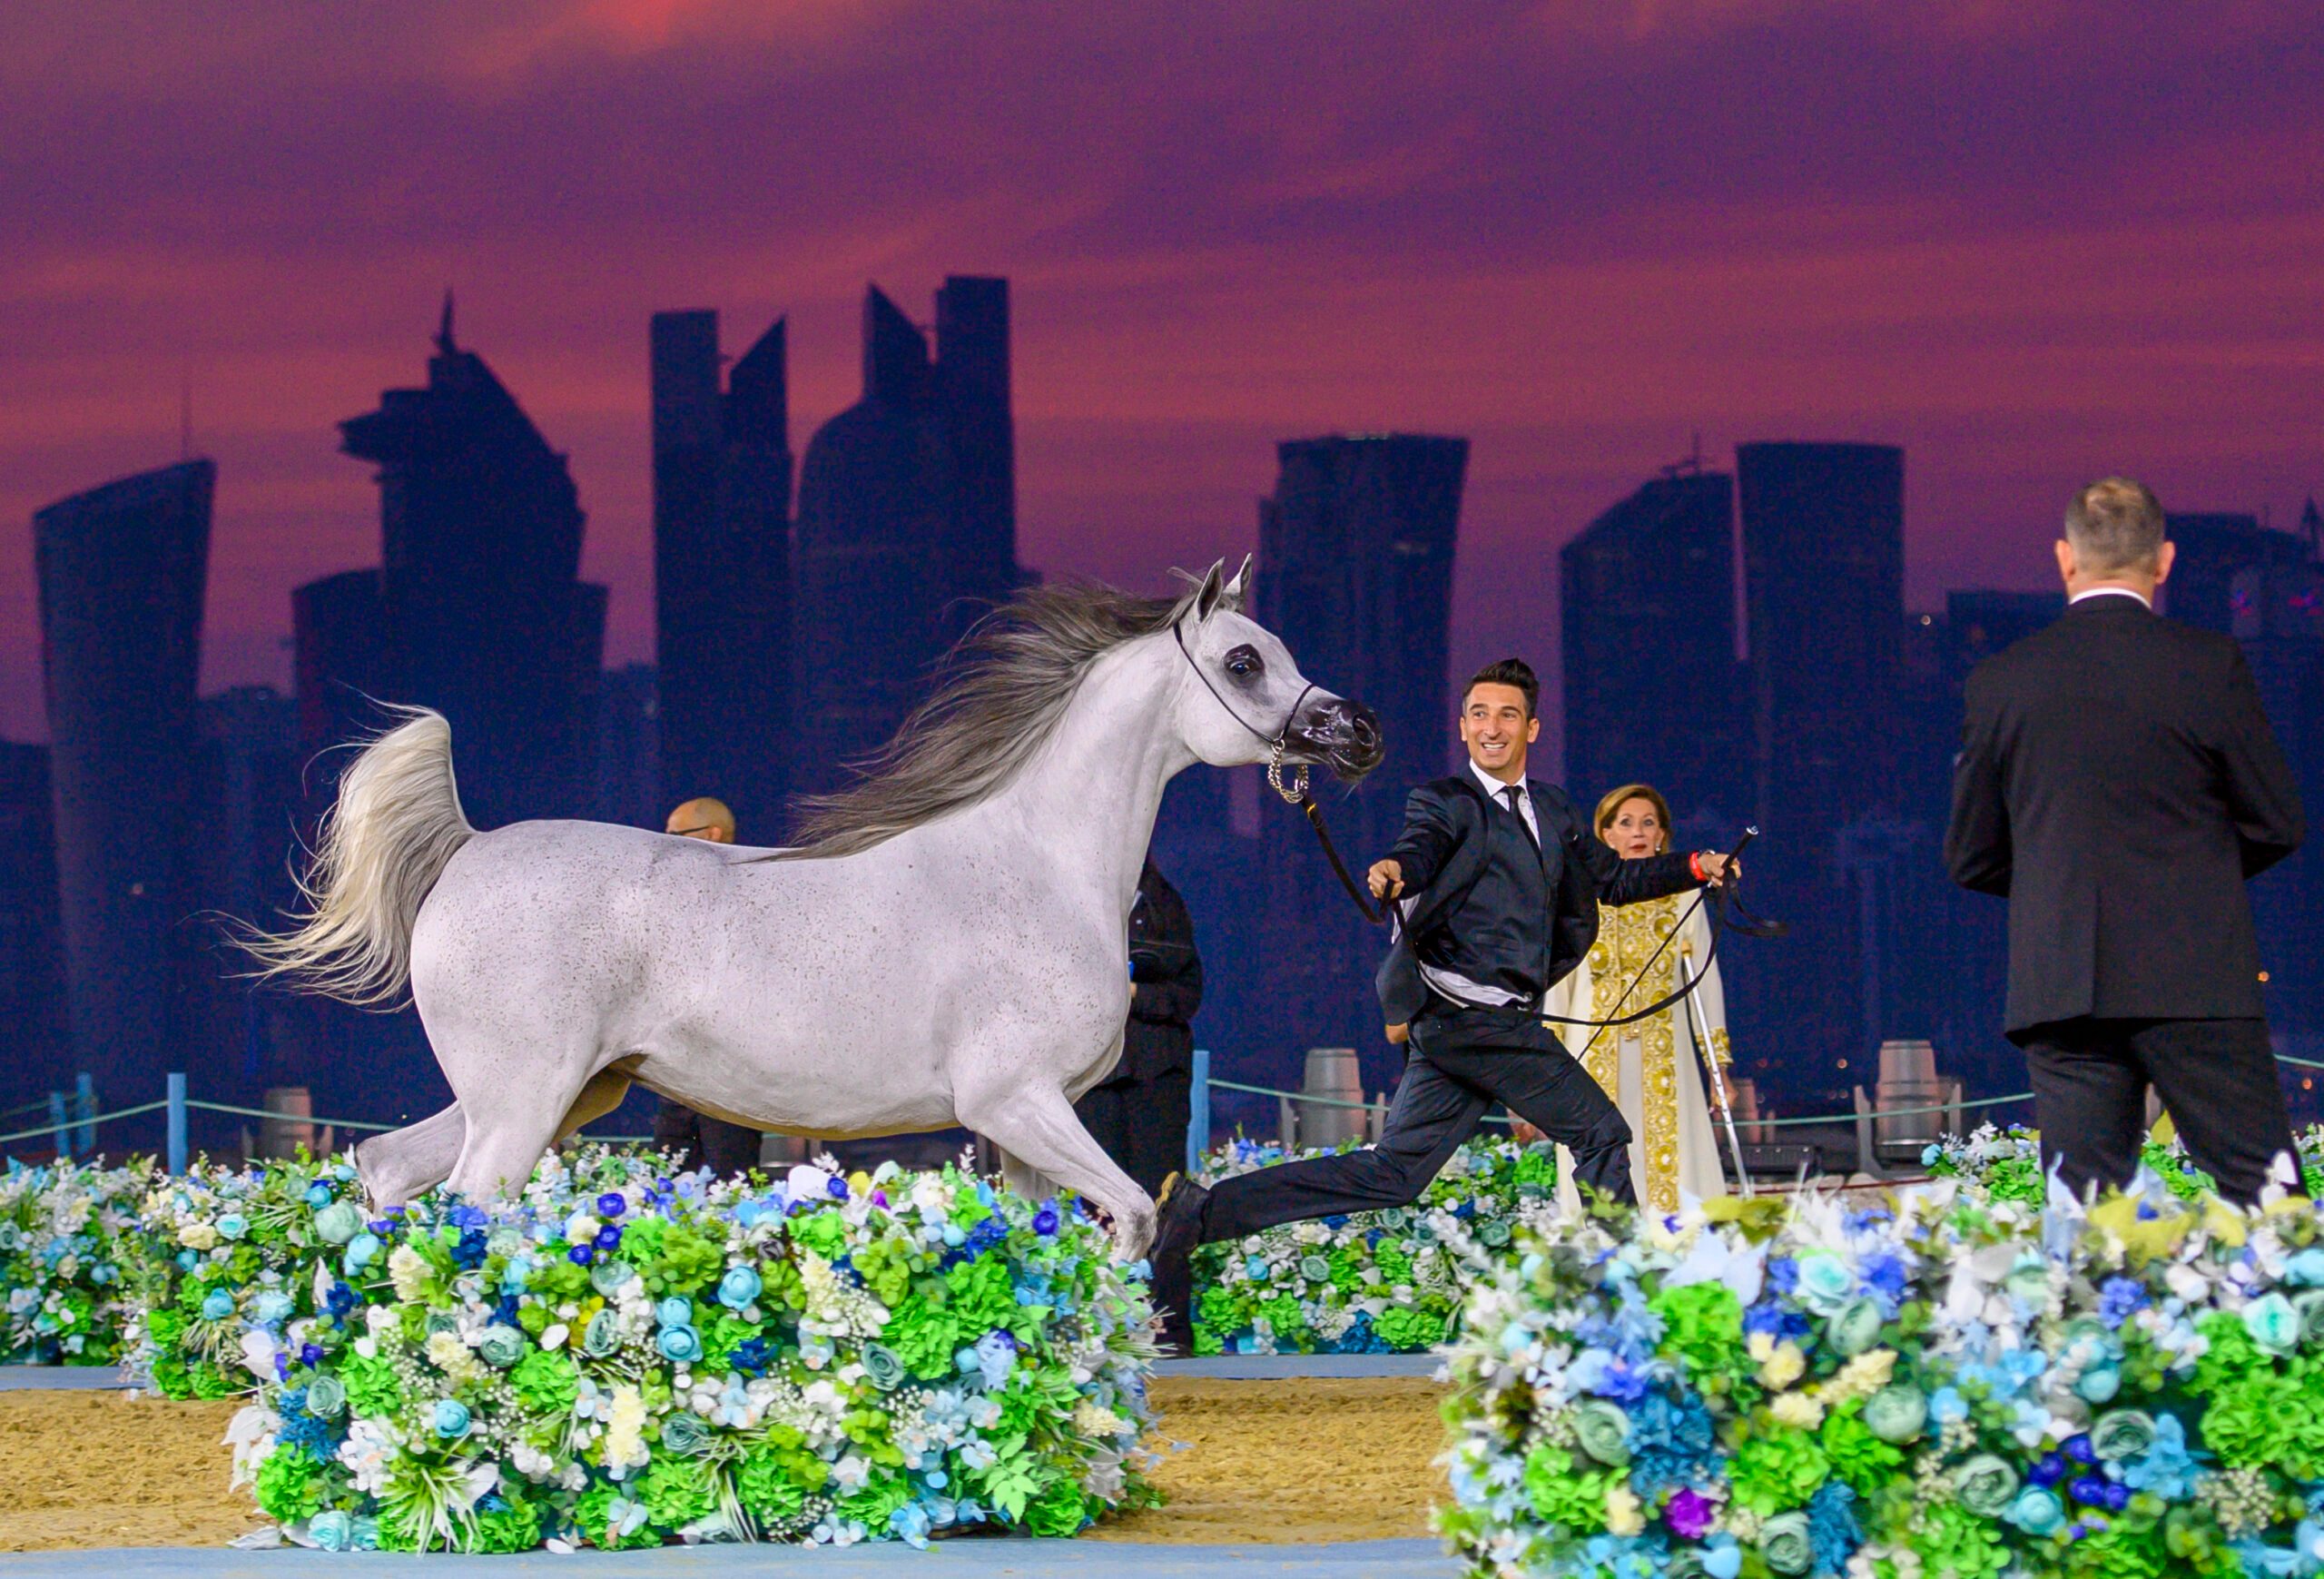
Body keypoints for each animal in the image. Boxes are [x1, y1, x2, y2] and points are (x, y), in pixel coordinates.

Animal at [242, 562, 1375, 1265]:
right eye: (1242, 660)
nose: (1358, 728)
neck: (1035, 866)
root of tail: (468, 848)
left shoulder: (1025, 1130)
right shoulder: (1015, 1101)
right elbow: (1137, 1219)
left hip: (559, 1095)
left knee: (388, 1170)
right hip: (523, 1103)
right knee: (471, 1208)